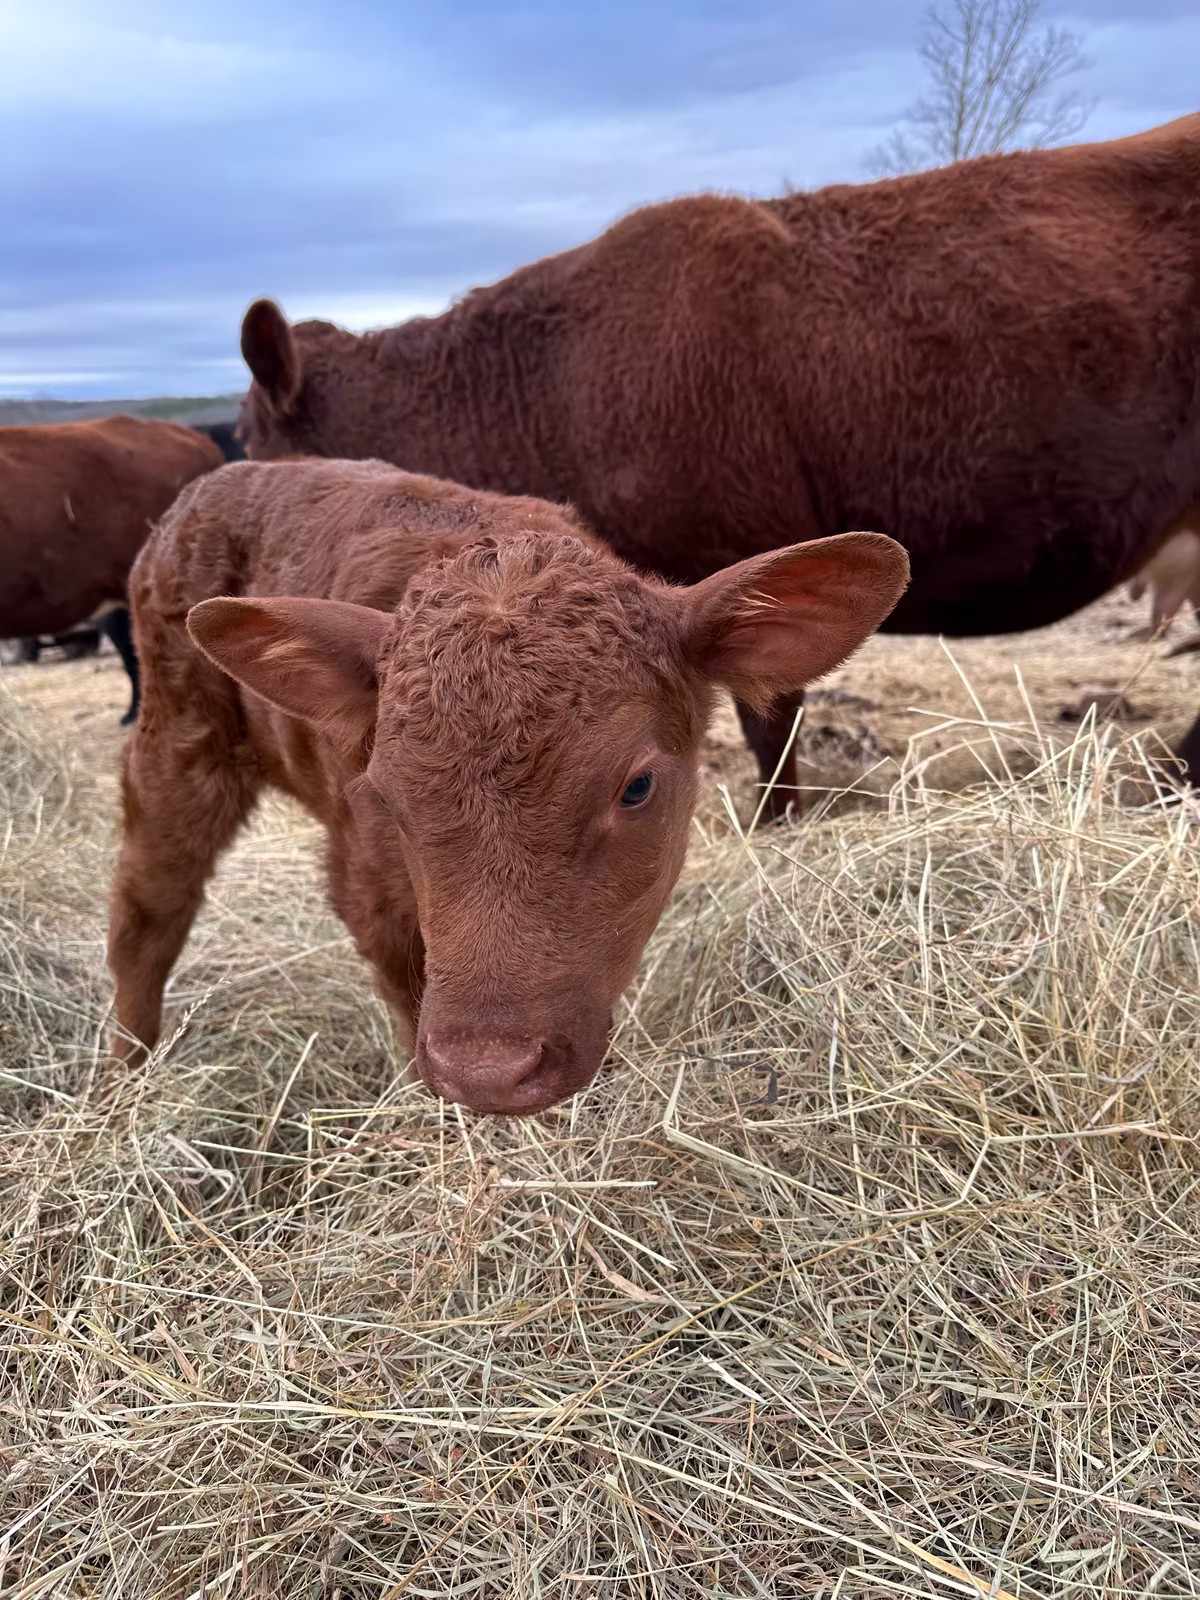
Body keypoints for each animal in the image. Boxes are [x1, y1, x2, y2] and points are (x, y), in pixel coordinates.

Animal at [107, 457, 908, 1114]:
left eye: (638, 787)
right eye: (386, 797)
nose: (489, 1072)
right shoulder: (367, 881)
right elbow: (406, 986)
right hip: (178, 744)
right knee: (147, 915)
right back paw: (128, 1076)